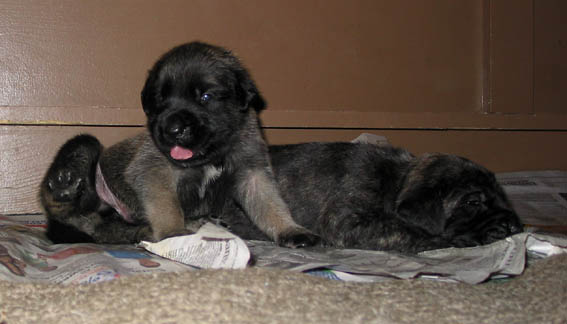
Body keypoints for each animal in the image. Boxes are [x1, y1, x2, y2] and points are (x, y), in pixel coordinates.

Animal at [41, 41, 320, 248]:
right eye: (159, 99)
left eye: (205, 97)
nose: (172, 130)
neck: (212, 155)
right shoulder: (154, 171)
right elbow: (166, 205)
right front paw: (174, 233)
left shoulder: (252, 172)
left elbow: (270, 205)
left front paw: (291, 230)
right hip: (87, 151)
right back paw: (66, 184)